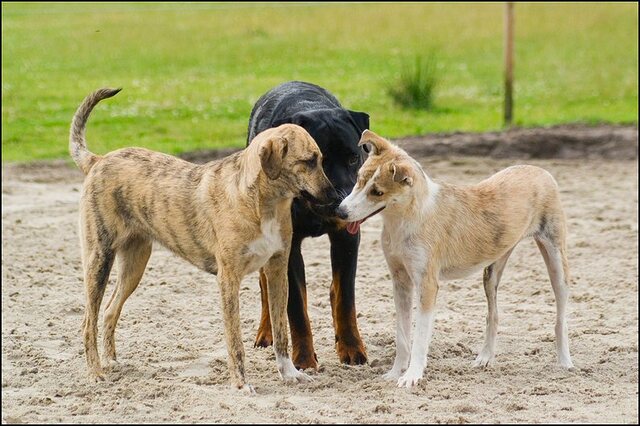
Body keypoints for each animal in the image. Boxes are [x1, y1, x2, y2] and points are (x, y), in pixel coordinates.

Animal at [249, 81, 372, 368]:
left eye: (353, 158)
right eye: (314, 161)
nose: (341, 200)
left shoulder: (346, 237)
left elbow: (345, 298)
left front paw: (351, 347)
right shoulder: (287, 245)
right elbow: (296, 306)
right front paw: (303, 358)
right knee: (266, 287)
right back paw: (267, 333)